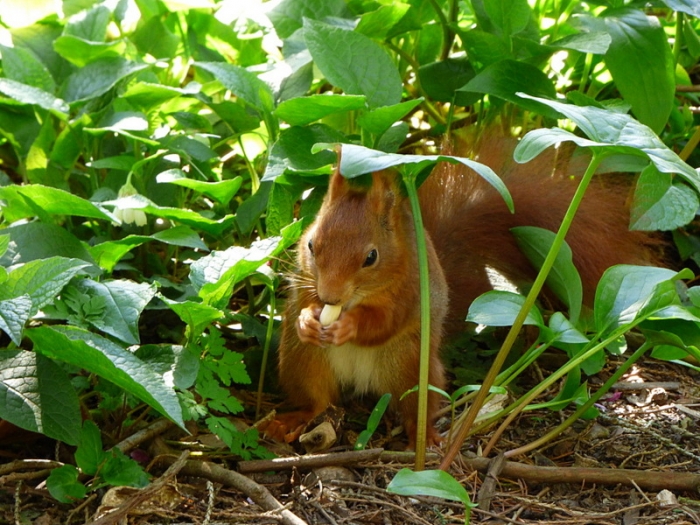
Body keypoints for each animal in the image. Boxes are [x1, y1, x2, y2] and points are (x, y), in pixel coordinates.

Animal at [264, 133, 664, 447]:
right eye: (311, 244)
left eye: (371, 257)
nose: (330, 298)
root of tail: (360, 382)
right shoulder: (307, 279)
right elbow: (303, 298)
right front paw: (307, 318)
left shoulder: (411, 291)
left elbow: (385, 322)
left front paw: (349, 325)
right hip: (301, 361)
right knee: (317, 402)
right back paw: (292, 419)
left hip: (413, 367)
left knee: (417, 407)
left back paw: (424, 436)